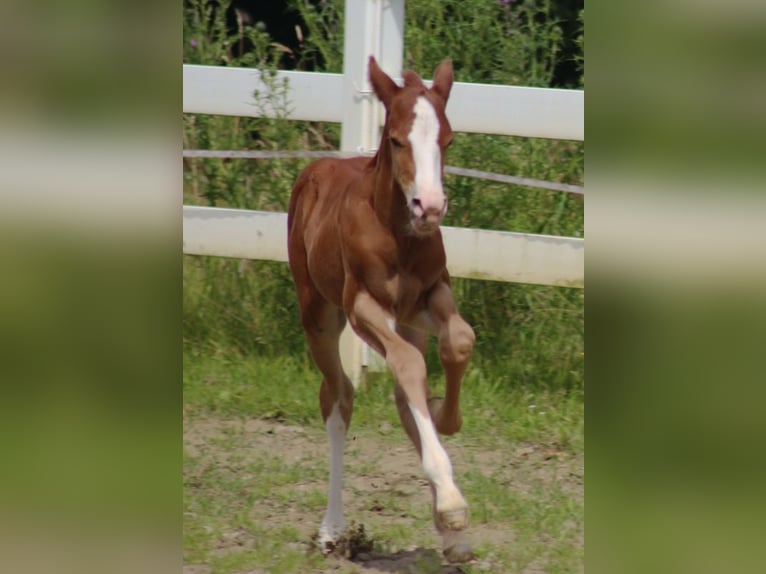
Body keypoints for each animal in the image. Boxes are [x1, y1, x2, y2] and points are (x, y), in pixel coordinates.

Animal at [287, 56, 475, 563]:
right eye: (396, 140)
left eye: (448, 139)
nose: (430, 206)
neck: (399, 235)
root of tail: (317, 169)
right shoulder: (364, 307)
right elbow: (408, 366)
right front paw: (449, 497)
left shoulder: (429, 297)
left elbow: (458, 343)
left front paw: (445, 419)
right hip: (319, 316)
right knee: (338, 397)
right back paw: (333, 530)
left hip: (407, 322)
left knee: (402, 394)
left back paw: (451, 530)